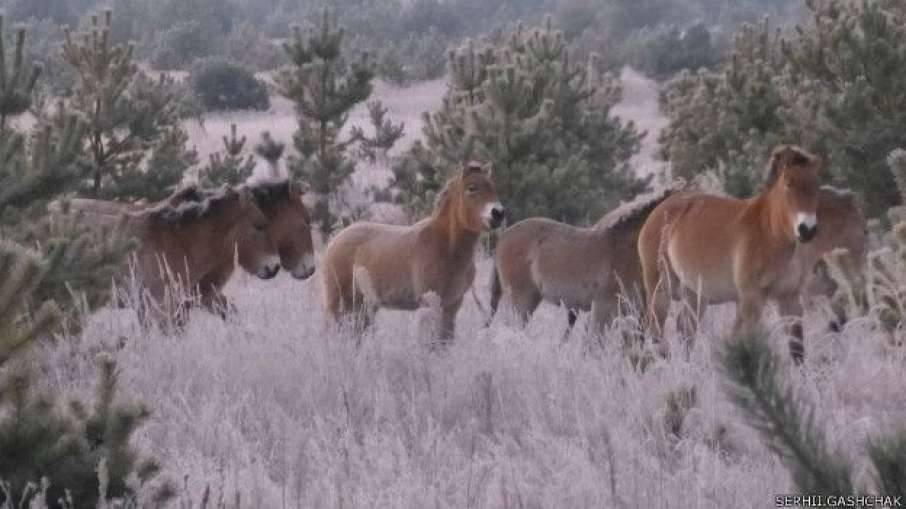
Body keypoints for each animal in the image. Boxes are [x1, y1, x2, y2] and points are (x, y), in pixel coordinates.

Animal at [320, 161, 504, 344]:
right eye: (472, 188)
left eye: (493, 187)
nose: (498, 213)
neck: (447, 247)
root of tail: (333, 242)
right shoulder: (429, 304)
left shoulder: (452, 306)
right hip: (340, 305)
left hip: (363, 307)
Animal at [636, 145, 828, 364]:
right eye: (788, 184)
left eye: (816, 185)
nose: (807, 229)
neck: (770, 230)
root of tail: (659, 212)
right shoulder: (751, 298)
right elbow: (745, 341)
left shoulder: (789, 298)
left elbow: (797, 349)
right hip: (661, 290)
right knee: (656, 333)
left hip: (695, 294)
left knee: (685, 330)